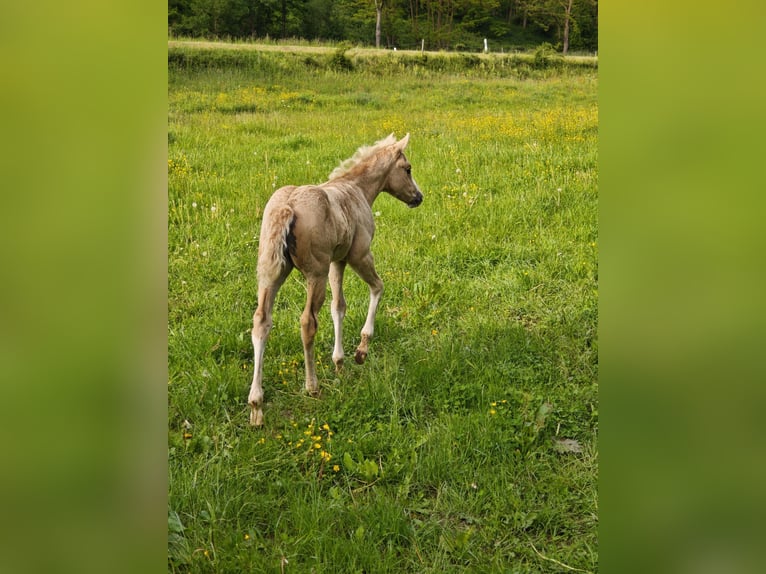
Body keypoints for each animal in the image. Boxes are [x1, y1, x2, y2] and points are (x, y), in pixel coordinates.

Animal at [248, 133, 423, 426]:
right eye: (407, 169)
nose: (418, 197)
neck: (357, 189)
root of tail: (287, 207)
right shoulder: (359, 256)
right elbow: (378, 287)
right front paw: (361, 351)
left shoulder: (336, 262)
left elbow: (338, 306)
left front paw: (339, 362)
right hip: (314, 274)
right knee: (307, 322)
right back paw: (312, 387)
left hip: (273, 273)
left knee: (261, 321)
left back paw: (256, 406)